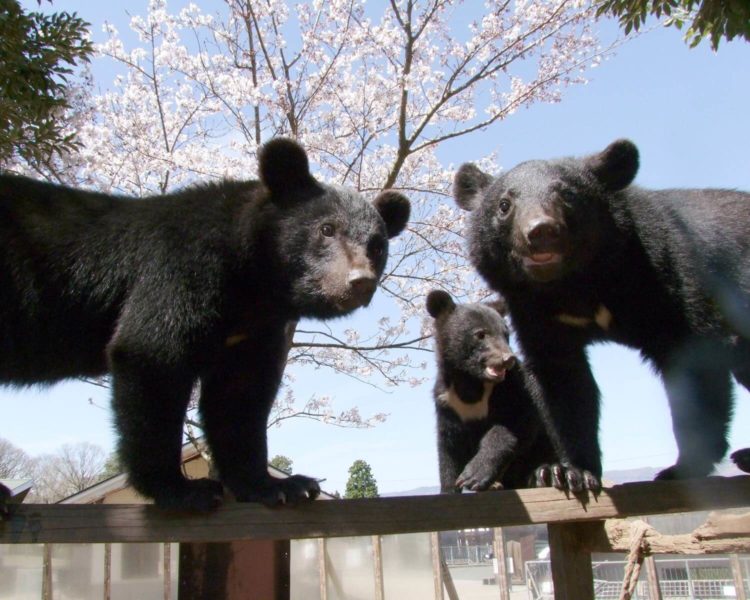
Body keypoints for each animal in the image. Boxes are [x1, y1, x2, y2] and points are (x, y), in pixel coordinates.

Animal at [0, 138, 410, 513]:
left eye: (377, 246)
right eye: (327, 229)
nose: (360, 282)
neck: (253, 284)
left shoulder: (255, 328)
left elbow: (238, 394)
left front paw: (278, 485)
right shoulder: (180, 269)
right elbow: (151, 352)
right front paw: (181, 489)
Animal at [426, 289, 556, 492]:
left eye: (506, 334)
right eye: (481, 334)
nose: (508, 358)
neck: (472, 382)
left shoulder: (515, 386)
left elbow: (517, 422)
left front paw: (472, 476)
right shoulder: (447, 402)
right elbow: (449, 449)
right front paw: (449, 489)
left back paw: (546, 474)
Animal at [452, 139, 750, 492]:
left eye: (567, 195)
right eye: (504, 204)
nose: (541, 232)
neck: (576, 284)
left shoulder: (669, 274)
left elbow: (695, 360)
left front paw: (681, 468)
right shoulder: (534, 313)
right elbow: (564, 381)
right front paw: (564, 472)